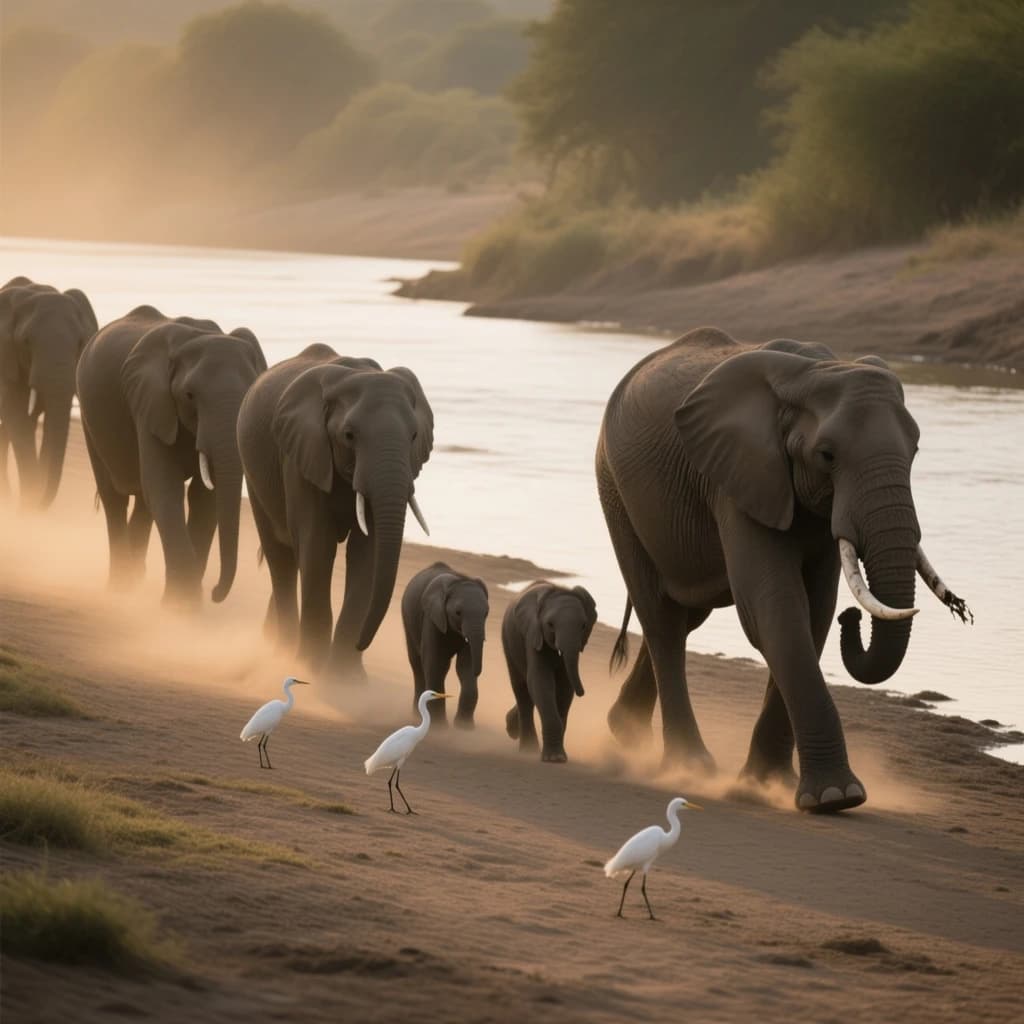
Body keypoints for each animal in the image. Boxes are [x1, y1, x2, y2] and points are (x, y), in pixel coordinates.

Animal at [76, 305, 267, 604]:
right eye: (189, 395)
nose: (215, 593)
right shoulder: (150, 403)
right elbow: (164, 487)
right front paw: (182, 606)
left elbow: (205, 498)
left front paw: (187, 600)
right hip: (89, 418)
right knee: (114, 498)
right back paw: (121, 587)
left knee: (143, 501)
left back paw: (136, 580)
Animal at [237, 344, 434, 680]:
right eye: (349, 436)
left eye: (413, 436)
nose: (361, 643)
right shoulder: (301, 454)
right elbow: (317, 544)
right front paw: (312, 670)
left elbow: (368, 553)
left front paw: (347, 681)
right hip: (254, 473)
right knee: (281, 558)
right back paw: (282, 653)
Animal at [401, 562, 489, 728]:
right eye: (458, 612)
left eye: (486, 613)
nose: (479, 672)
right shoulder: (432, 617)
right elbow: (435, 664)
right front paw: (440, 726)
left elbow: (464, 666)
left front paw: (464, 728)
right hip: (408, 620)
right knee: (417, 664)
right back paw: (416, 715)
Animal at [503, 581, 598, 762]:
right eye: (550, 625)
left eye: (583, 626)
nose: (582, 692)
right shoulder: (533, 635)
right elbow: (540, 681)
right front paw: (554, 758)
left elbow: (564, 688)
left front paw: (559, 757)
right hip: (508, 642)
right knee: (522, 690)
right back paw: (528, 750)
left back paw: (513, 729)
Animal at [595, 327, 971, 813]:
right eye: (827, 455)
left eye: (916, 450)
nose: (854, 617)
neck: (815, 372)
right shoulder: (741, 477)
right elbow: (775, 608)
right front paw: (835, 797)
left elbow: (815, 613)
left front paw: (769, 784)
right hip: (615, 490)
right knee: (662, 620)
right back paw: (688, 766)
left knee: (684, 614)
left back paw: (625, 732)